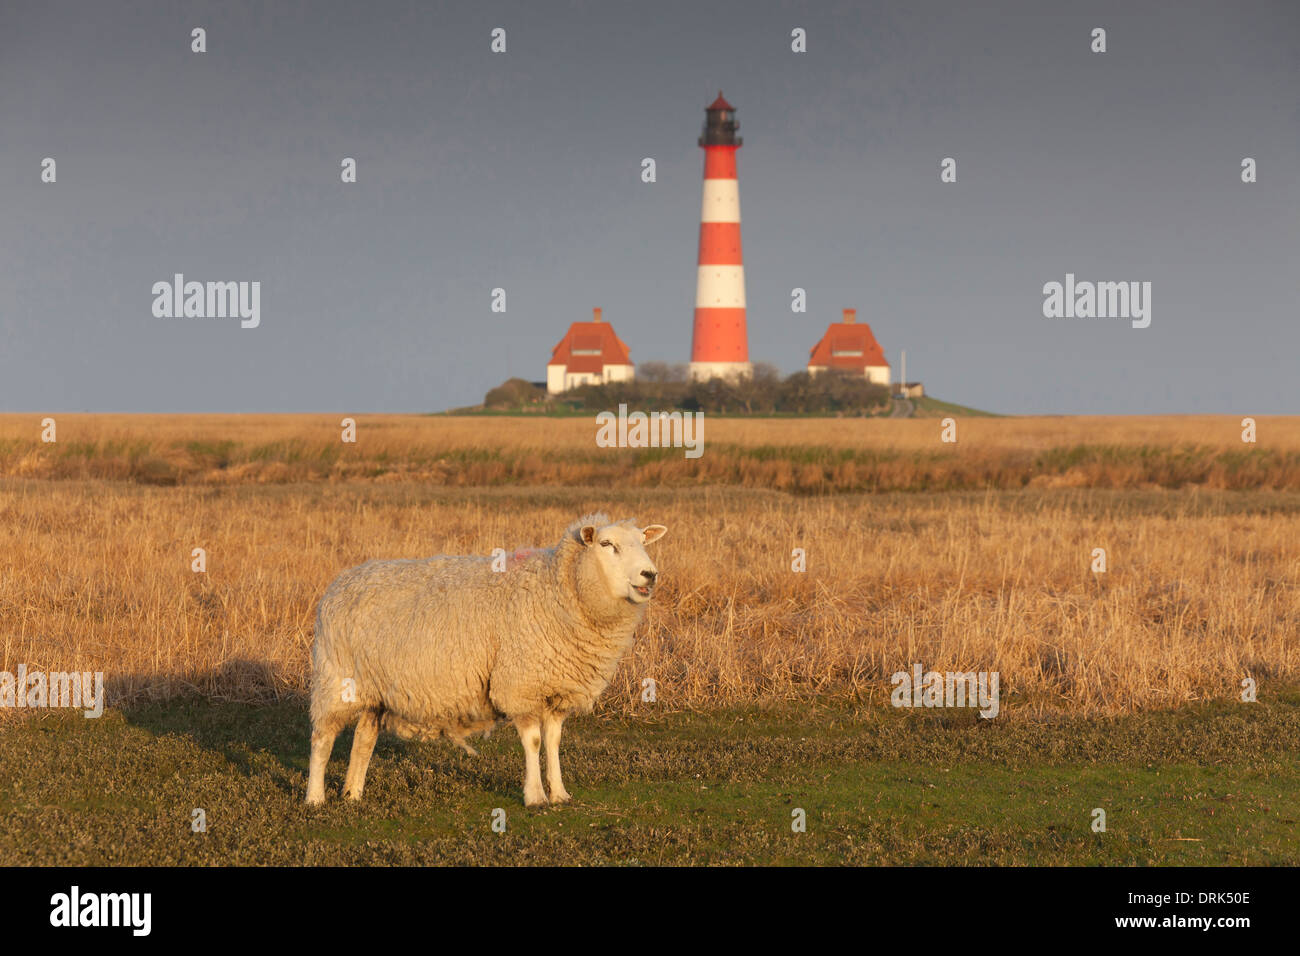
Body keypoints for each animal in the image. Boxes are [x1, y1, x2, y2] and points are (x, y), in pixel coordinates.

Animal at [306, 515, 670, 806]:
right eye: (607, 544)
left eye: (643, 542)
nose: (649, 574)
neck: (560, 590)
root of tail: (340, 582)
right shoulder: (520, 684)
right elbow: (534, 741)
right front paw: (535, 797)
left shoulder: (555, 689)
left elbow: (553, 741)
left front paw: (560, 794)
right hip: (335, 679)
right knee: (322, 739)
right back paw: (315, 798)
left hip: (373, 691)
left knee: (363, 739)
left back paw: (353, 794)